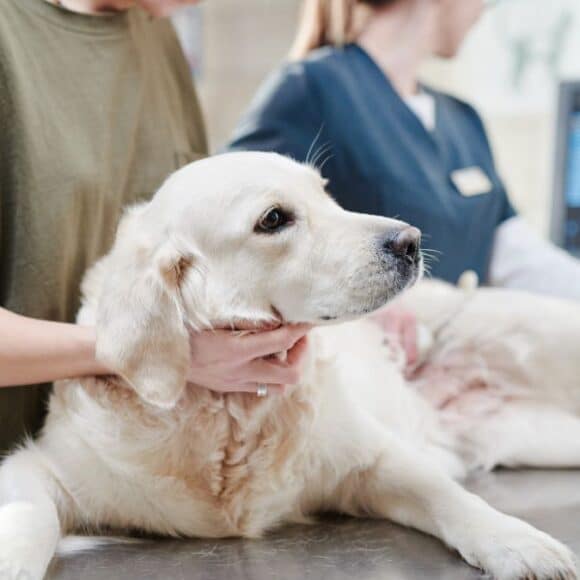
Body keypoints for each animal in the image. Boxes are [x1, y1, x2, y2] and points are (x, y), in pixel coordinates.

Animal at [1, 153, 580, 580]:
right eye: (274, 219)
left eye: (325, 193)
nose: (411, 241)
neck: (229, 414)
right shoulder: (40, 466)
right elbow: (30, 517)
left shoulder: (374, 459)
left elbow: (450, 497)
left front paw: (518, 541)